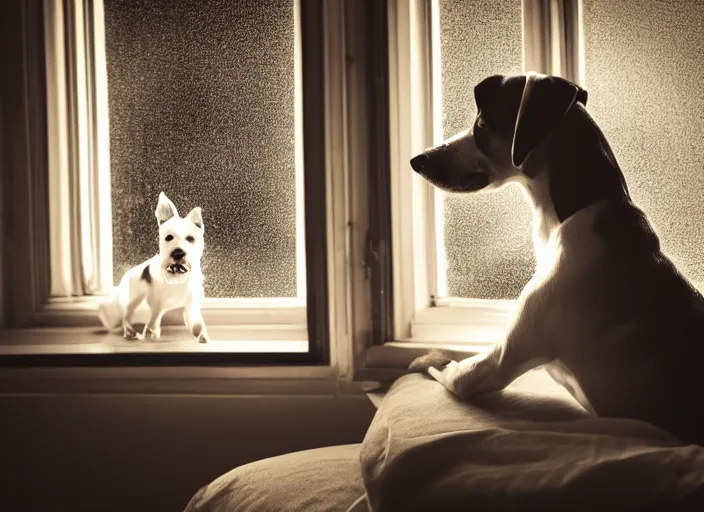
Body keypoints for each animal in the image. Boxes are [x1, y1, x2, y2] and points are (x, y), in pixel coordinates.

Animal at [99, 192, 210, 344]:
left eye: (190, 238)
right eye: (169, 237)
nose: (177, 253)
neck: (176, 276)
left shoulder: (191, 305)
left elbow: (197, 323)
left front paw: (202, 335)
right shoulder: (156, 303)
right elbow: (153, 320)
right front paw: (151, 334)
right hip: (134, 299)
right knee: (126, 316)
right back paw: (130, 332)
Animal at [410, 71, 704, 444]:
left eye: (481, 124)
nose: (417, 160)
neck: (572, 214)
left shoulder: (495, 364)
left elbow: (450, 370)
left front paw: (429, 359)